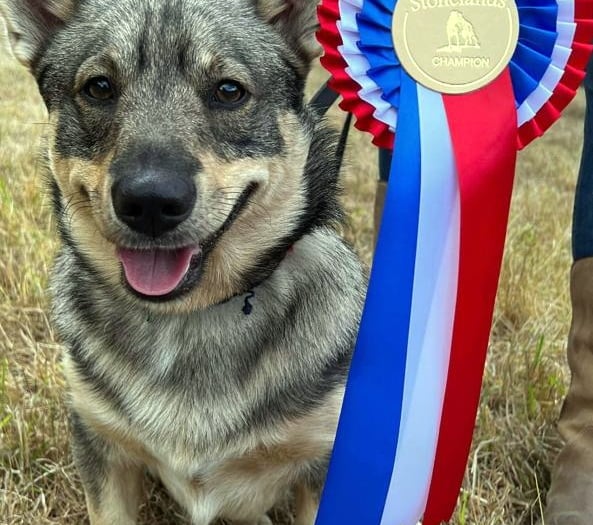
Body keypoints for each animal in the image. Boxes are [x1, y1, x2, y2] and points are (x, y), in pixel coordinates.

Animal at [0, 1, 364, 524]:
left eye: (229, 91)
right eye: (99, 87)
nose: (150, 203)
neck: (188, 317)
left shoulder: (324, 462)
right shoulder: (100, 446)